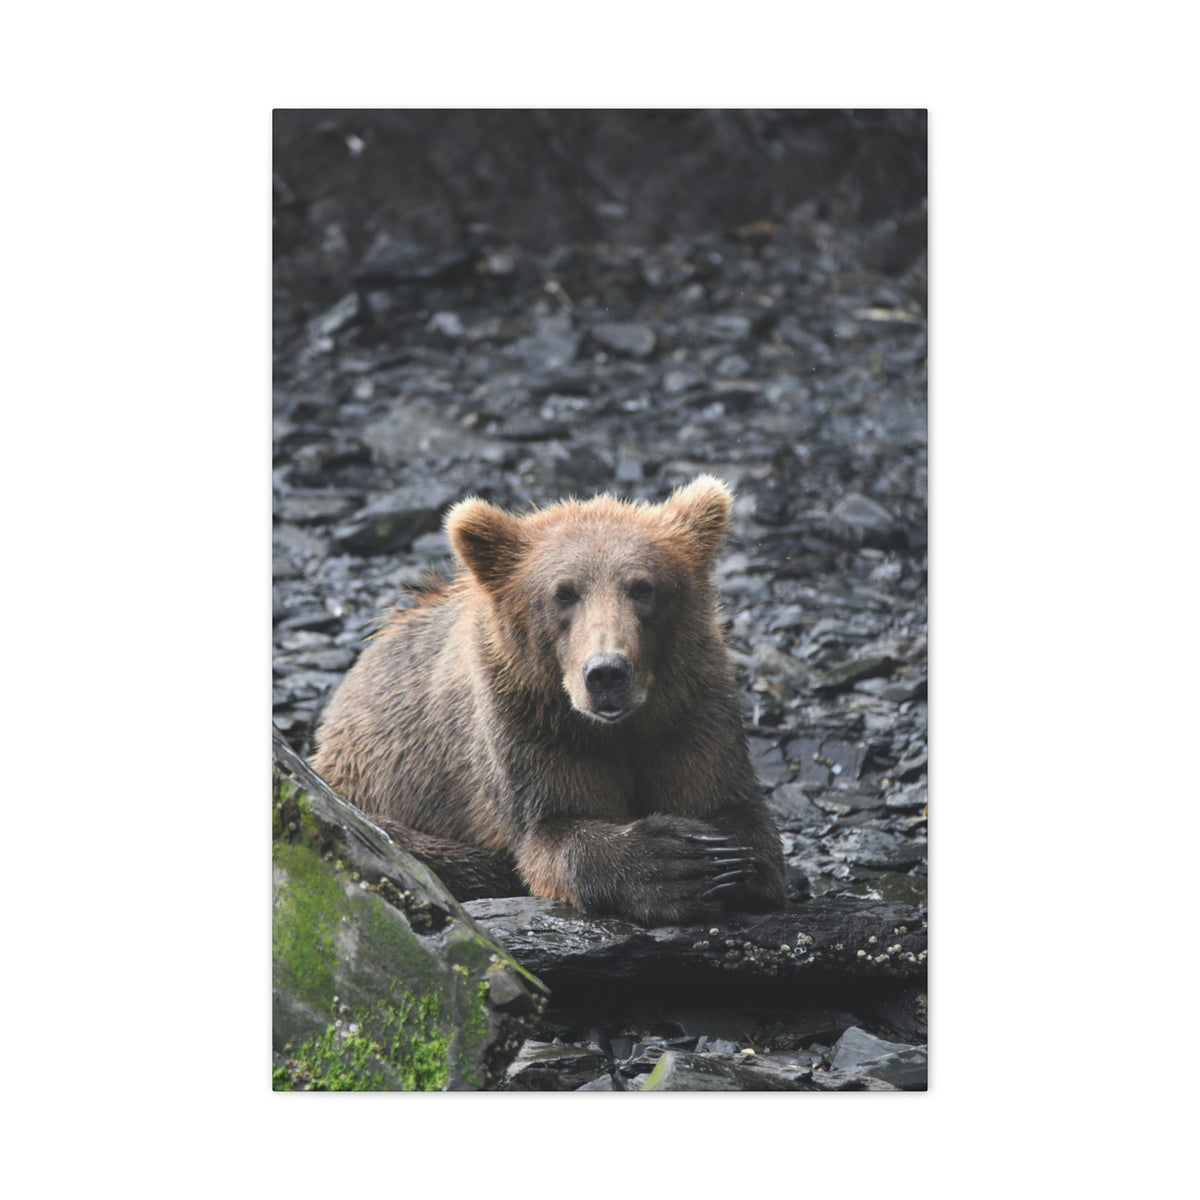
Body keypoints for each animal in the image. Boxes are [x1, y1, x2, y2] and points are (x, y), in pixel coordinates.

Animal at [311, 475, 787, 926]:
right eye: (564, 592)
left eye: (643, 587)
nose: (607, 672)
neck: (617, 728)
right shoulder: (528, 725)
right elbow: (553, 830)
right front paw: (673, 863)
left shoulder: (691, 709)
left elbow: (730, 805)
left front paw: (724, 860)